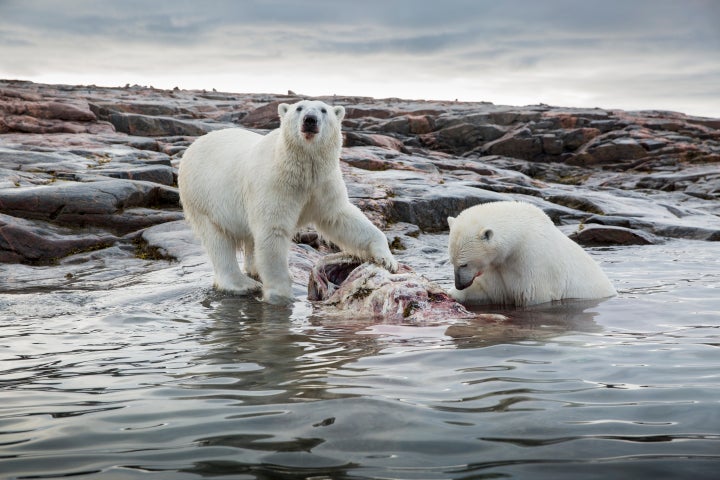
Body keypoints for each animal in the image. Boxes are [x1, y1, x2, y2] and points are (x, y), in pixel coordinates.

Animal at [176, 99, 396, 306]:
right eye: (299, 108)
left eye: (323, 110)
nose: (310, 120)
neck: (300, 170)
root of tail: (195, 144)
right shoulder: (275, 185)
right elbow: (273, 231)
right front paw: (280, 296)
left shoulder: (323, 184)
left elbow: (341, 217)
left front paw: (387, 259)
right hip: (203, 197)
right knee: (217, 239)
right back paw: (242, 284)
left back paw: (254, 270)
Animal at [448, 201, 616, 306]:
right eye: (452, 262)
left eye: (464, 264)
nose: (459, 285)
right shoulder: (497, 267)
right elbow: (487, 291)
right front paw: (452, 294)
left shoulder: (533, 262)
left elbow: (531, 295)